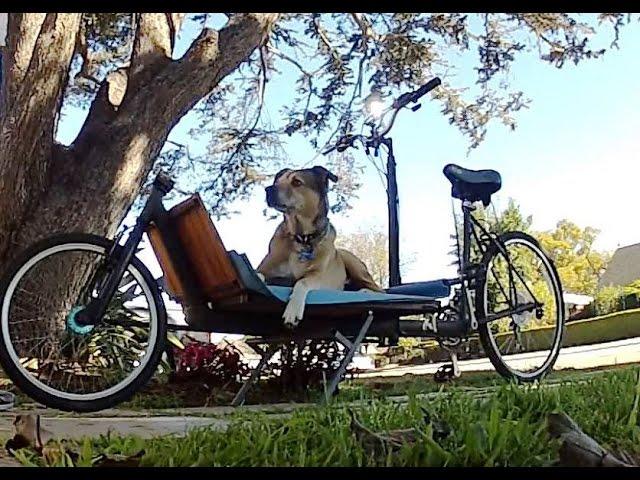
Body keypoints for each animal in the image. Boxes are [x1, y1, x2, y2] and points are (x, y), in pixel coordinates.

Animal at [256, 164, 384, 326]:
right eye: (277, 181)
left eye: (297, 182)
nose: (268, 189)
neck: (302, 238)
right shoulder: (265, 268)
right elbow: (258, 274)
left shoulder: (319, 276)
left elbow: (302, 282)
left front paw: (293, 310)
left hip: (351, 260)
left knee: (380, 290)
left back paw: (364, 292)